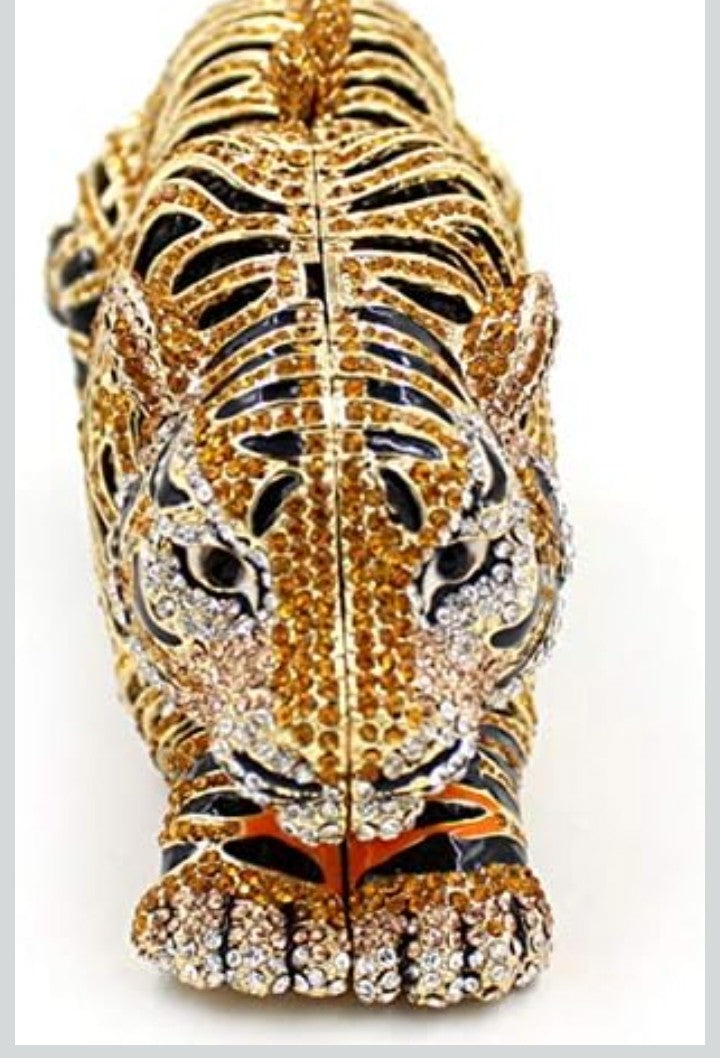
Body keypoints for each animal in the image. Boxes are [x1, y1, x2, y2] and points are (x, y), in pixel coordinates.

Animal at [46, 0, 572, 1007]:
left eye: (458, 564)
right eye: (215, 569)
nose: (355, 775)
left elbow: (477, 729)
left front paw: (448, 914)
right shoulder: (131, 615)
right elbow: (209, 733)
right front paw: (239, 905)